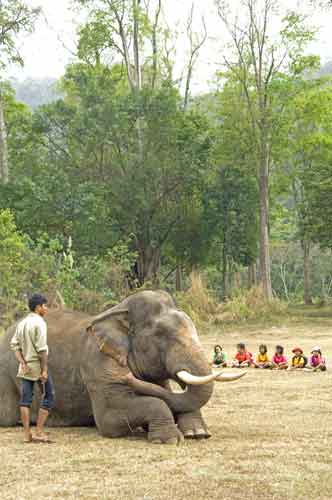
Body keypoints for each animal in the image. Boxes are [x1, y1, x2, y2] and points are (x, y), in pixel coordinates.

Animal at [0, 292, 245, 444]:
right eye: (162, 335)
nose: (126, 377)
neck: (120, 310)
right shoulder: (97, 364)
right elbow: (110, 417)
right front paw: (169, 439)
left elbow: (168, 395)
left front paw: (198, 433)